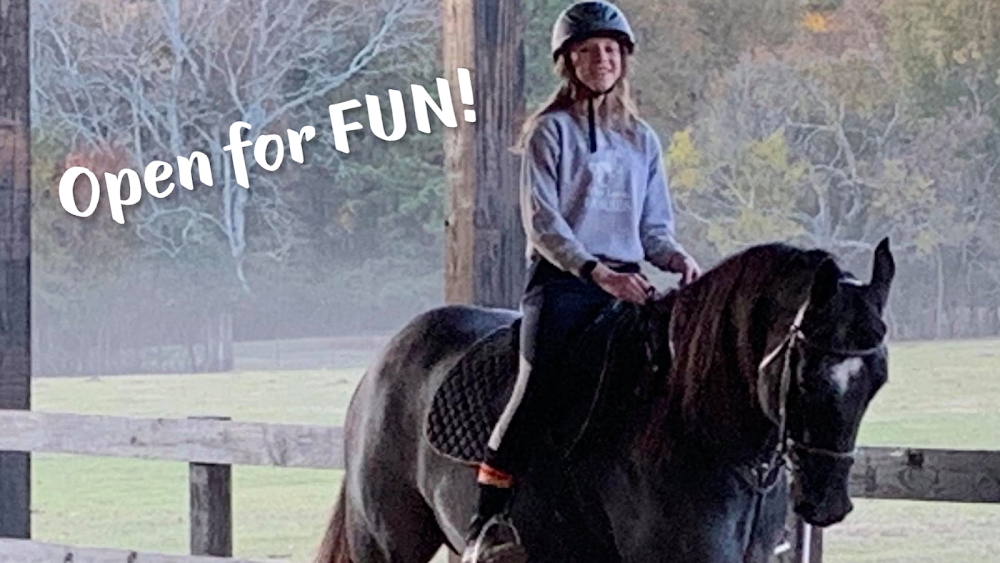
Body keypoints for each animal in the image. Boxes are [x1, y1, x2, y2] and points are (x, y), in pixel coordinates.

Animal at [316, 240, 896, 563]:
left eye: (878, 379)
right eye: (806, 375)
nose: (827, 502)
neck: (694, 423)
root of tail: (386, 359)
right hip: (385, 545)